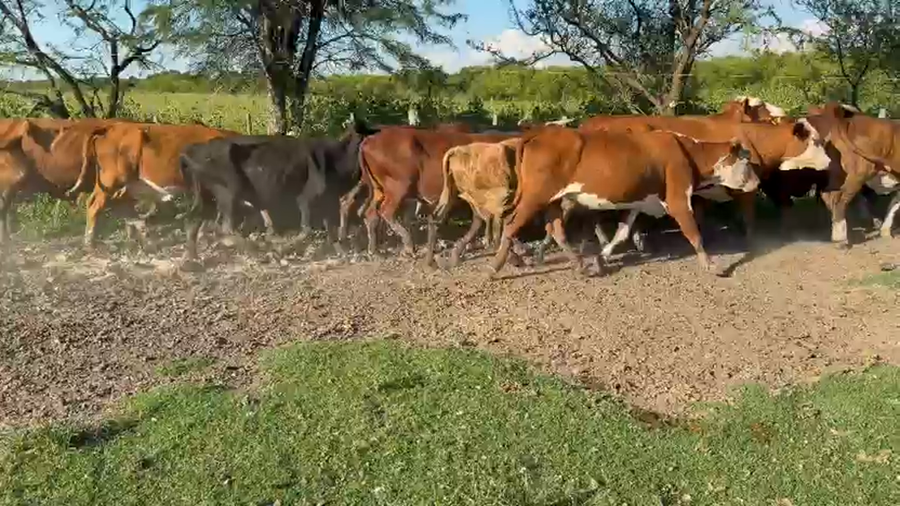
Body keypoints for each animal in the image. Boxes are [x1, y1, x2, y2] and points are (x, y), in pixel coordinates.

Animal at [180, 119, 378, 261]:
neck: (337, 159)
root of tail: (193, 149)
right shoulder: (306, 199)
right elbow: (306, 230)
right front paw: (280, 248)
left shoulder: (328, 201)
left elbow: (331, 230)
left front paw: (342, 252)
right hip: (228, 193)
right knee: (225, 228)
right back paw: (255, 251)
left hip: (206, 195)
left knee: (193, 221)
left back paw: (191, 260)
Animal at [490, 126, 761, 277]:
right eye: (746, 162)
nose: (758, 183)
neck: (688, 152)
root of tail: (540, 133)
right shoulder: (678, 199)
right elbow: (694, 232)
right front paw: (711, 265)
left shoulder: (639, 203)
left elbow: (622, 232)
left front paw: (601, 258)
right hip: (536, 195)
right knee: (512, 223)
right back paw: (495, 267)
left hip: (554, 198)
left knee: (555, 228)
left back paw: (579, 265)